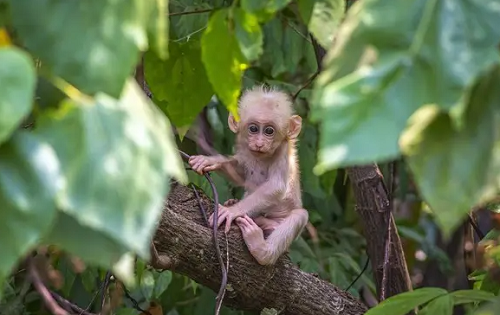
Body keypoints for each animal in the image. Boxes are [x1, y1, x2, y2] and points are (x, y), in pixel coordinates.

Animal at [188, 84, 308, 266]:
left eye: (269, 131)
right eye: (253, 129)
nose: (259, 143)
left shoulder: (283, 151)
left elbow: (276, 186)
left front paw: (232, 211)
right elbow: (241, 173)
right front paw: (210, 160)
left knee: (300, 215)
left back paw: (261, 249)